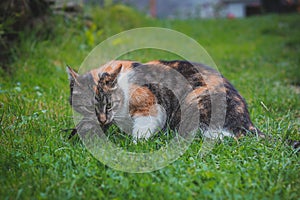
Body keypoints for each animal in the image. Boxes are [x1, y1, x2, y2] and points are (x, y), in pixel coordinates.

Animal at [67, 60, 264, 141]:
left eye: (109, 104)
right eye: (87, 107)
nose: (101, 119)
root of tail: (247, 122)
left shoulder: (150, 106)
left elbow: (142, 128)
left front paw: (136, 144)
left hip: (193, 100)